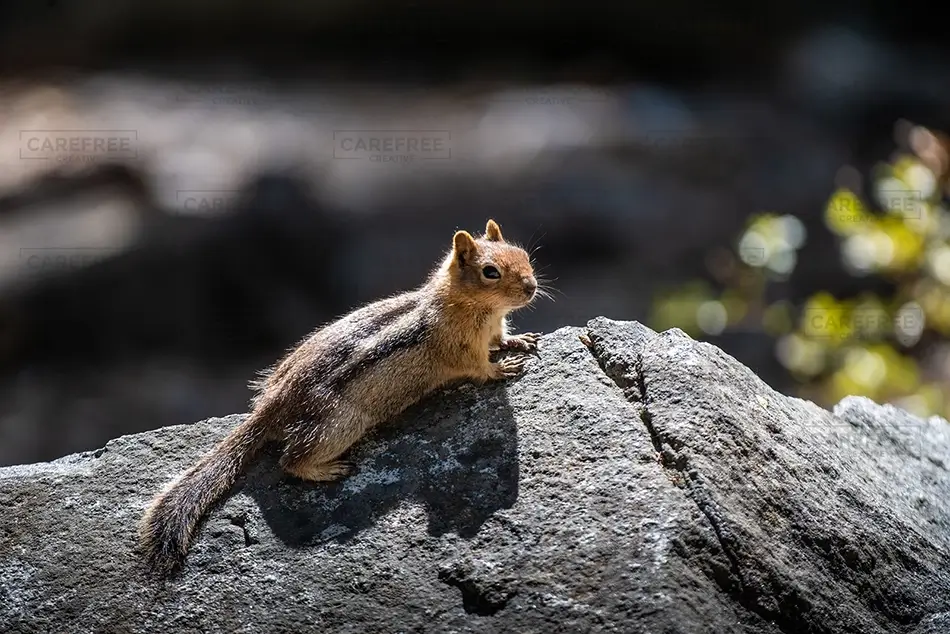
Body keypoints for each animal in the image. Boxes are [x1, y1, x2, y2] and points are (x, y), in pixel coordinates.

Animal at [139, 219, 543, 574]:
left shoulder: (493, 328)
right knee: (290, 459)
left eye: (523, 254)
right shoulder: (459, 347)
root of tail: (273, 404)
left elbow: (501, 338)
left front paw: (517, 341)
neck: (478, 309)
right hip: (339, 423)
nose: (531, 287)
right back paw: (327, 469)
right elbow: (477, 367)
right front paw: (501, 369)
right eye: (490, 272)